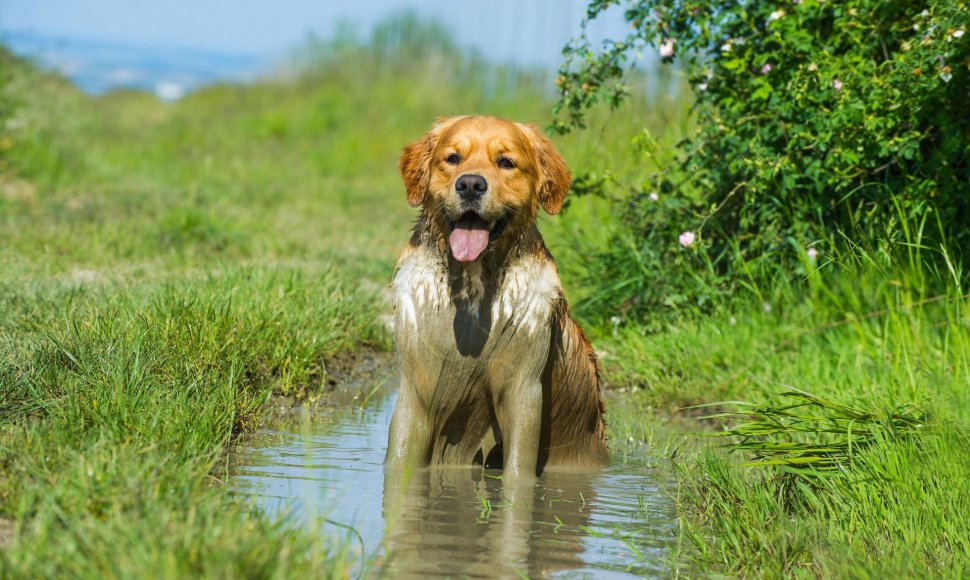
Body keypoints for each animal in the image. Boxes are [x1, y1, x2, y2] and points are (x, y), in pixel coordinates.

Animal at [384, 114, 604, 476]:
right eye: (453, 158)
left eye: (506, 162)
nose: (471, 184)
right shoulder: (418, 385)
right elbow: (401, 460)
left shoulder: (522, 386)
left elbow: (519, 469)